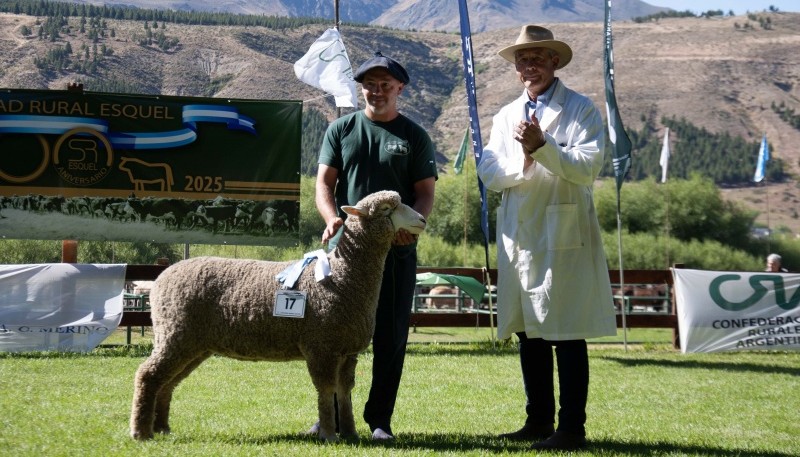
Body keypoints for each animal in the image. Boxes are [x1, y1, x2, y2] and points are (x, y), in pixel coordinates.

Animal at [130, 190, 428, 442]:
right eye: (387, 208)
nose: (423, 220)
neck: (344, 275)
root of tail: (161, 278)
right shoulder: (321, 346)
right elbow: (326, 390)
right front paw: (329, 434)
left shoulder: (347, 351)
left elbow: (344, 392)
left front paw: (350, 433)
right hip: (176, 334)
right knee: (148, 375)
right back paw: (141, 432)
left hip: (191, 342)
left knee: (168, 382)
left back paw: (162, 428)